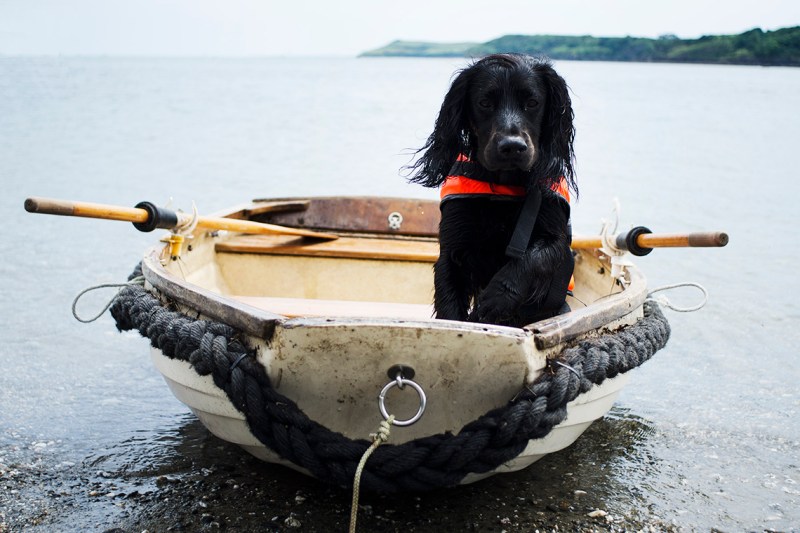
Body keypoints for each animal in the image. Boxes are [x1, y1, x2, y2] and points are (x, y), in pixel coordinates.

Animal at [412, 55, 576, 328]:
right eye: (485, 103)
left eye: (532, 102)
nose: (512, 147)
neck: (504, 184)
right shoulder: (451, 250)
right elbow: (450, 304)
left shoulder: (556, 237)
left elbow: (534, 257)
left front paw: (497, 297)